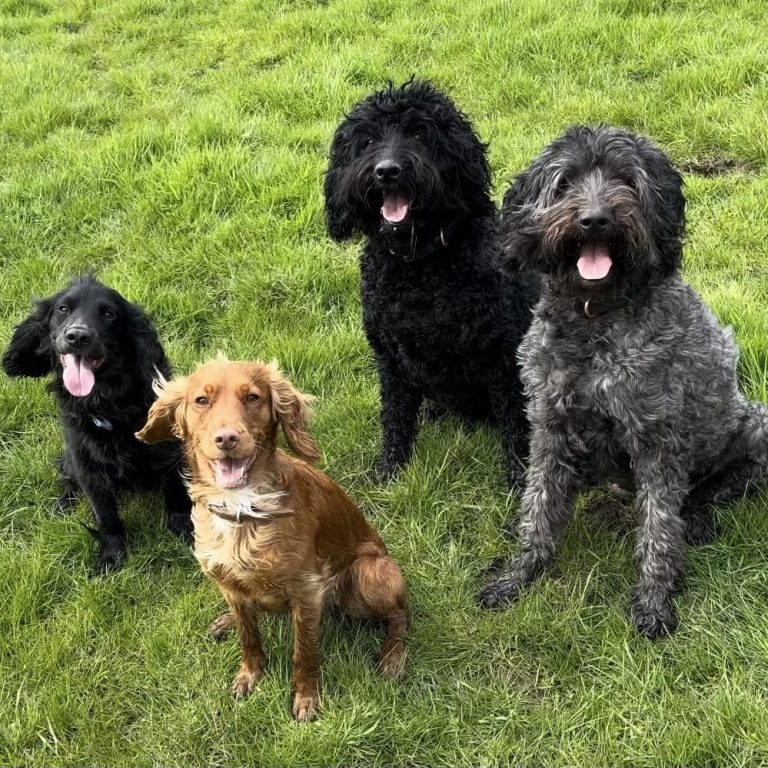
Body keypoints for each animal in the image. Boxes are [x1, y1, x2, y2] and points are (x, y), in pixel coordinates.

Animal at [2, 274, 192, 568]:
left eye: (108, 314)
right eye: (63, 309)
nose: (78, 336)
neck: (107, 403)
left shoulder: (169, 450)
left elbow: (177, 492)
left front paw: (186, 532)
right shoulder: (86, 464)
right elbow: (106, 515)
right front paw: (112, 556)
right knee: (68, 479)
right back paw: (63, 505)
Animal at [136, 360, 408, 720]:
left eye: (252, 397)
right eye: (201, 401)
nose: (227, 438)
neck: (242, 508)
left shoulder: (307, 590)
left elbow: (303, 651)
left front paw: (306, 698)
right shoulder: (228, 584)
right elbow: (249, 637)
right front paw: (249, 674)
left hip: (368, 575)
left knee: (400, 614)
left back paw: (394, 657)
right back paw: (225, 621)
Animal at [324, 78, 540, 486]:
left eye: (420, 134)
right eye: (367, 140)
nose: (387, 171)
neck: (419, 270)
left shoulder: (505, 362)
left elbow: (518, 430)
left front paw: (519, 483)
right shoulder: (390, 359)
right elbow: (395, 417)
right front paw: (391, 471)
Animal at [476, 126, 768, 640]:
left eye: (627, 180)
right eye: (565, 183)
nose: (596, 220)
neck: (594, 316)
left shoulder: (656, 439)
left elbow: (659, 529)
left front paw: (654, 602)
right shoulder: (549, 425)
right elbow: (539, 505)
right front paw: (520, 574)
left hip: (754, 425)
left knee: (709, 490)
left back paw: (699, 518)